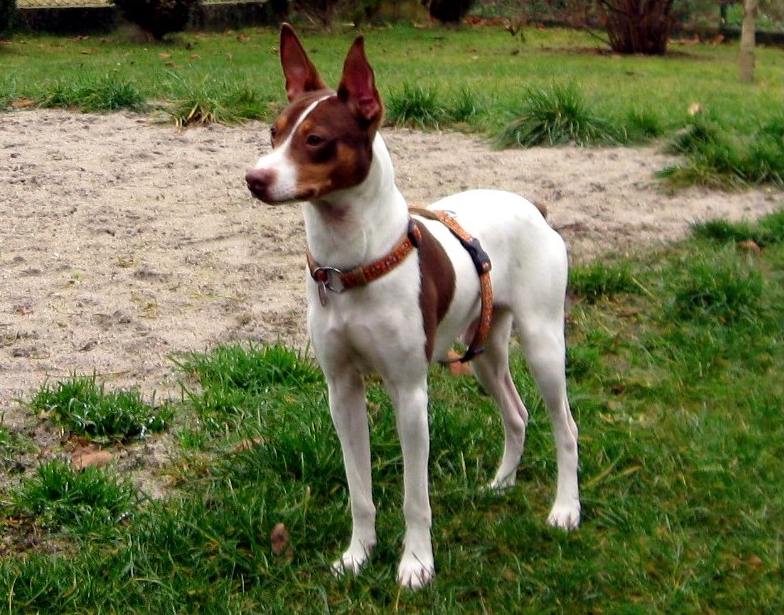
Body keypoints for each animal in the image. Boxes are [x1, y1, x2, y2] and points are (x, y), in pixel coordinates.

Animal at [247, 25, 580, 592]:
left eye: (315, 140)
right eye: (274, 133)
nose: (254, 178)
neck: (349, 266)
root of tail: (533, 208)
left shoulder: (409, 394)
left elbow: (414, 497)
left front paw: (416, 564)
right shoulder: (342, 391)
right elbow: (359, 491)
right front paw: (358, 555)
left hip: (542, 345)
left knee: (565, 427)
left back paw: (565, 509)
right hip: (484, 350)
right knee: (516, 414)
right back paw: (501, 483)